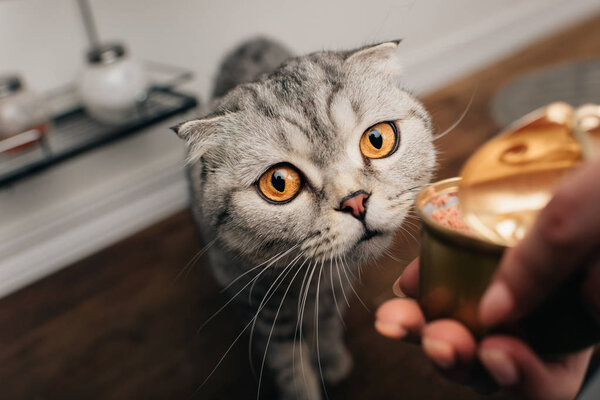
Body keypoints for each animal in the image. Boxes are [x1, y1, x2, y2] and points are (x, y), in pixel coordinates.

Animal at [172, 38, 436, 400]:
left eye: (378, 139)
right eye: (279, 182)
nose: (356, 202)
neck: (312, 278)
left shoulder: (335, 287)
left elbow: (325, 324)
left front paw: (331, 359)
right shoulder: (261, 306)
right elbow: (290, 364)